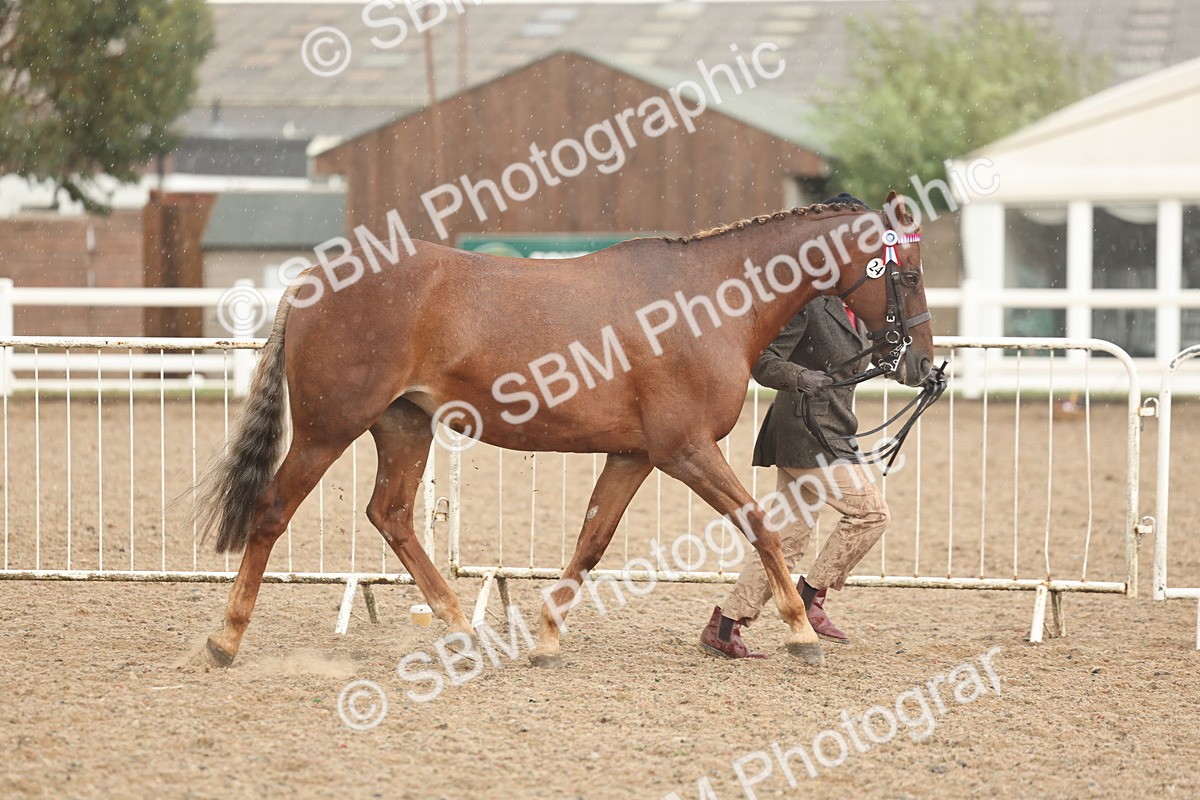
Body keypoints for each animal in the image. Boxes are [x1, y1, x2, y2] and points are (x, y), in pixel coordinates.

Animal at [194, 191, 934, 669]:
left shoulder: (634, 454)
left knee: (393, 515)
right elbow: (760, 526)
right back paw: (225, 639)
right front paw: (801, 636)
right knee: (273, 511)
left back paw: (464, 632)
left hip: (404, 426)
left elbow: (591, 542)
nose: (923, 365)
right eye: (910, 273)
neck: (711, 300)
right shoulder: (686, 450)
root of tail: (315, 280)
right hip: (329, 427)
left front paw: (547, 638)